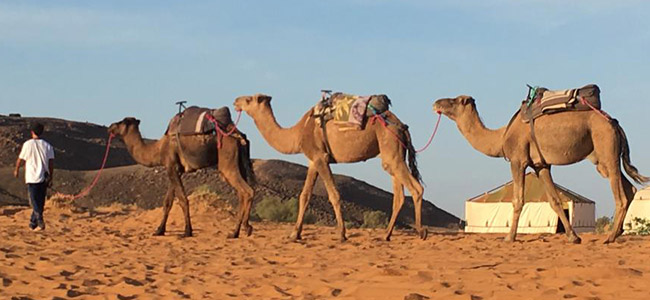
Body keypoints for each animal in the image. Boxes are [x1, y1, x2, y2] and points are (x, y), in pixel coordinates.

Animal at [107, 116, 254, 238]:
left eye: (122, 121)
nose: (110, 126)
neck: (158, 149)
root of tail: (240, 137)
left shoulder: (172, 167)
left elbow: (183, 199)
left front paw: (187, 232)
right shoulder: (176, 170)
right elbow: (168, 202)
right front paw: (159, 230)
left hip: (227, 162)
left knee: (247, 191)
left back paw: (240, 230)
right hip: (239, 164)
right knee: (242, 193)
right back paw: (240, 230)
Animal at [233, 94, 426, 241]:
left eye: (248, 99)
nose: (236, 101)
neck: (299, 132)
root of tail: (402, 126)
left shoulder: (321, 158)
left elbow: (334, 195)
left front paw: (342, 234)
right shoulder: (313, 160)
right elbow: (304, 196)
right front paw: (295, 234)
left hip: (390, 147)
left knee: (416, 188)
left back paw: (421, 231)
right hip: (392, 153)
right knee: (399, 195)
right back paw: (386, 235)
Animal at [432, 96, 644, 244]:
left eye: (455, 100)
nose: (436, 103)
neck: (501, 137)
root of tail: (614, 123)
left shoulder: (517, 160)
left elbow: (518, 200)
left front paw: (509, 238)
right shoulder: (540, 165)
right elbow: (554, 200)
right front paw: (573, 237)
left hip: (606, 147)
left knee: (620, 195)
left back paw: (610, 237)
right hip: (601, 158)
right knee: (630, 188)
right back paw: (618, 232)